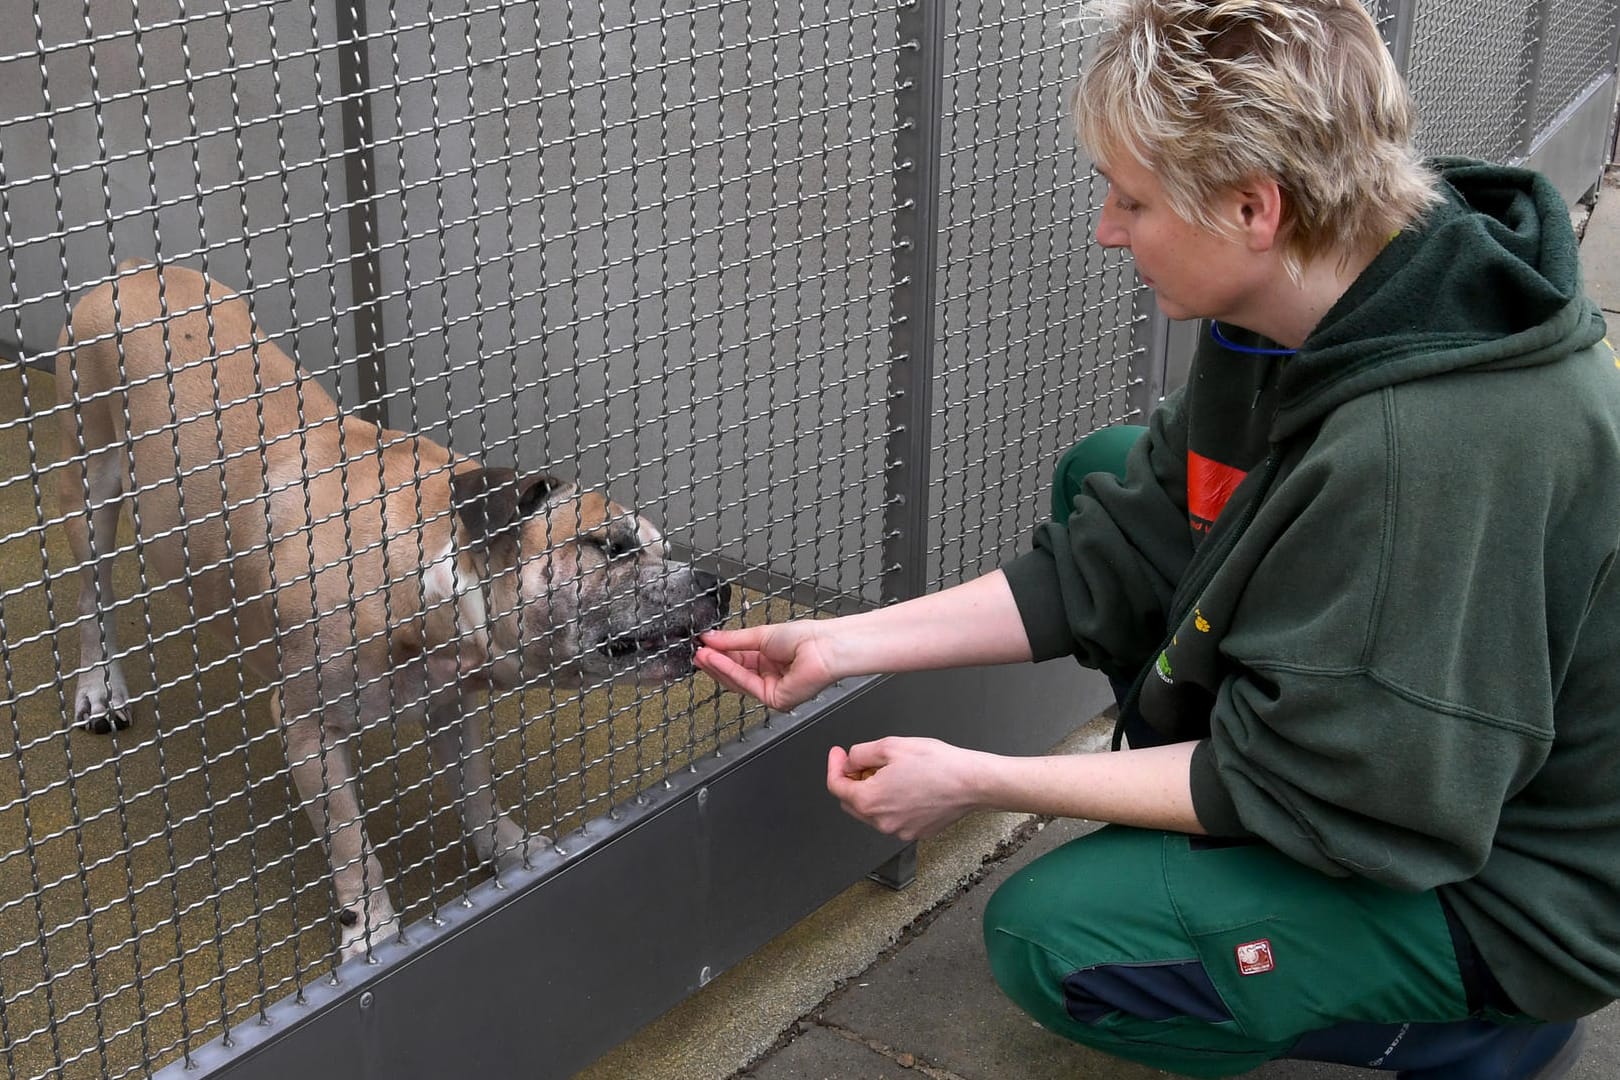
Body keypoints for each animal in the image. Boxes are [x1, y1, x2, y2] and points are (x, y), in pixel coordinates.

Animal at [55, 263, 729, 965]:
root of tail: (130, 271)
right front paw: (371, 930)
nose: (718, 586)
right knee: (91, 599)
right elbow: (353, 845)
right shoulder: (308, 729)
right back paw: (99, 690)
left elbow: (477, 791)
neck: (426, 565)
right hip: (90, 487)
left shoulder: (451, 702)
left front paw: (512, 853)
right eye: (614, 546)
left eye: (666, 549)